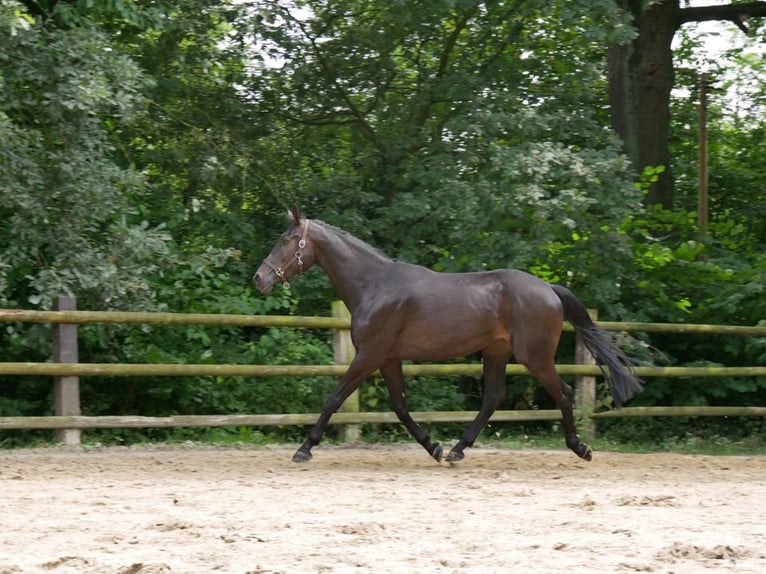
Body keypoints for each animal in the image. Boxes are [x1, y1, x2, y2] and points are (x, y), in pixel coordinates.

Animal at [255, 207, 644, 464]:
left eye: (288, 240)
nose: (260, 278)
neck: (374, 286)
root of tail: (548, 288)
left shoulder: (369, 355)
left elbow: (334, 399)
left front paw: (304, 449)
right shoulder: (388, 358)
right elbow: (400, 406)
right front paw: (434, 447)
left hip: (534, 357)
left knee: (562, 392)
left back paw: (580, 448)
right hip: (496, 352)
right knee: (493, 397)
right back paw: (457, 449)